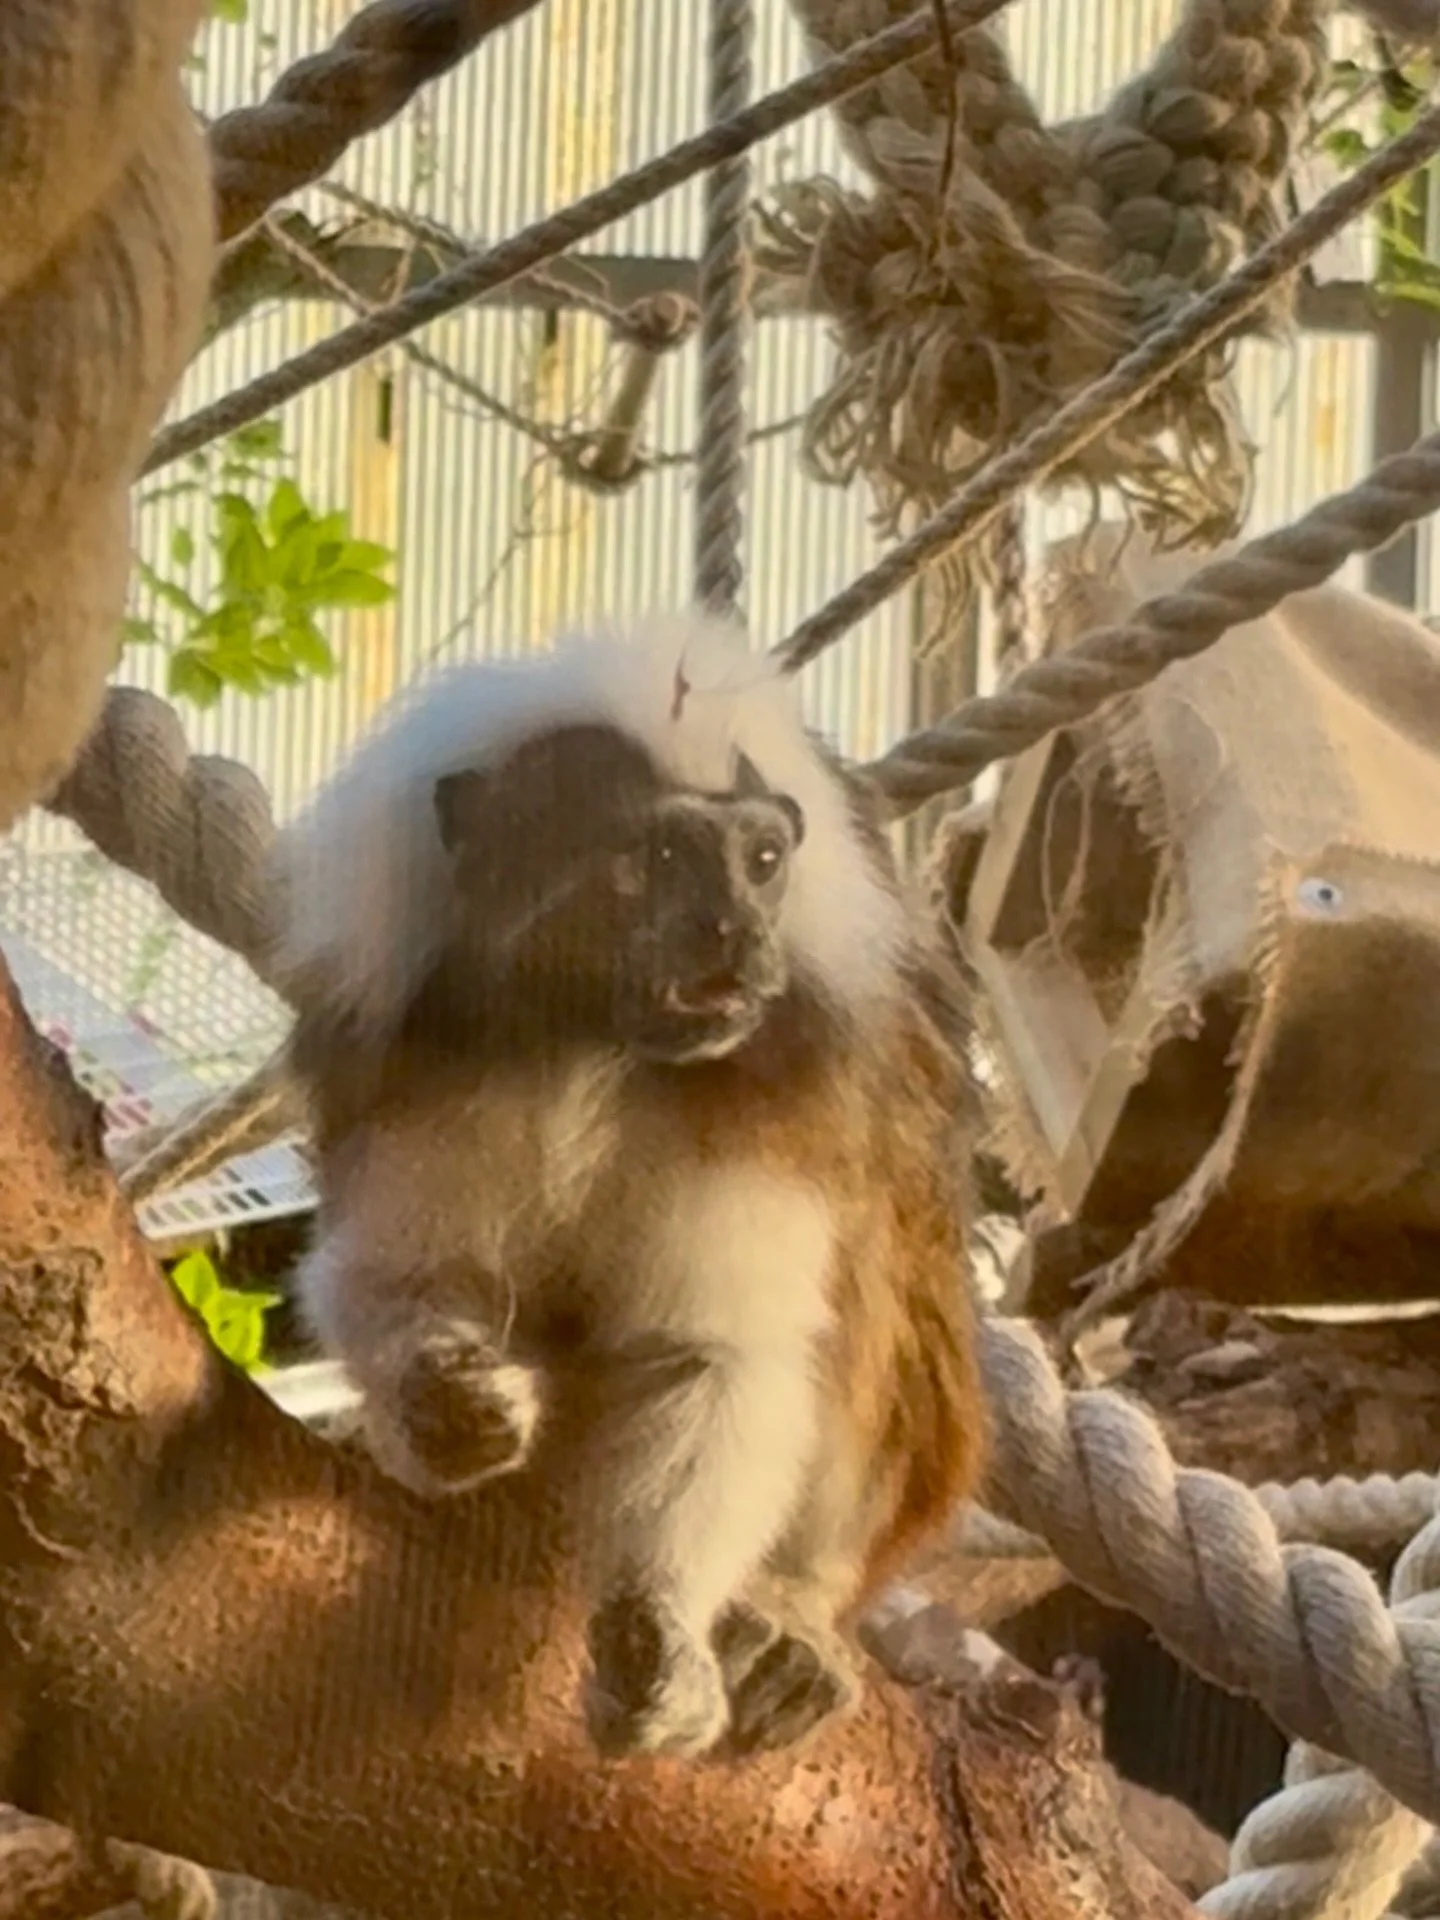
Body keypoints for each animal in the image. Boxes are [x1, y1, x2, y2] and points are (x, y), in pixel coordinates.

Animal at [271, 611, 987, 1762]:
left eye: (762, 862)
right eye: (658, 859)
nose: (736, 932)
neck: (599, 1047)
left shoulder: (772, 1090)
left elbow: (712, 1351)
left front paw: (663, 1623)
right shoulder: (430, 1051)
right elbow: (400, 1274)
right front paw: (444, 1402)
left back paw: (790, 1616)